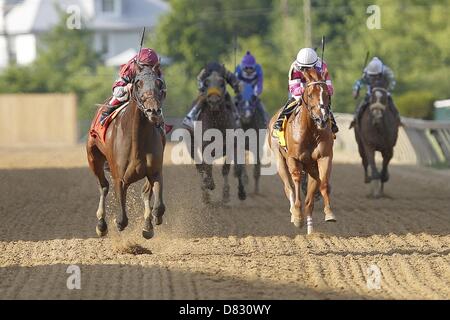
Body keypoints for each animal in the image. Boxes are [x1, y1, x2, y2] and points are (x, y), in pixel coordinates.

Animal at [87, 65, 166, 240]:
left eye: (159, 83)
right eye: (138, 83)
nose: (153, 111)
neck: (137, 139)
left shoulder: (155, 172)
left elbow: (159, 206)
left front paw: (153, 221)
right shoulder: (120, 178)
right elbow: (122, 219)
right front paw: (115, 225)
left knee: (145, 193)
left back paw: (147, 225)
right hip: (93, 158)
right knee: (103, 186)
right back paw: (101, 225)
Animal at [268, 69, 336, 234]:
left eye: (327, 94)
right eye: (310, 95)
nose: (322, 119)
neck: (310, 130)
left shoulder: (324, 157)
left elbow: (324, 184)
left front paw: (329, 213)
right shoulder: (294, 159)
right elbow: (296, 180)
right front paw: (298, 216)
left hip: (311, 168)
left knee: (310, 200)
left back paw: (310, 230)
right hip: (280, 161)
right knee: (289, 187)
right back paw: (294, 213)